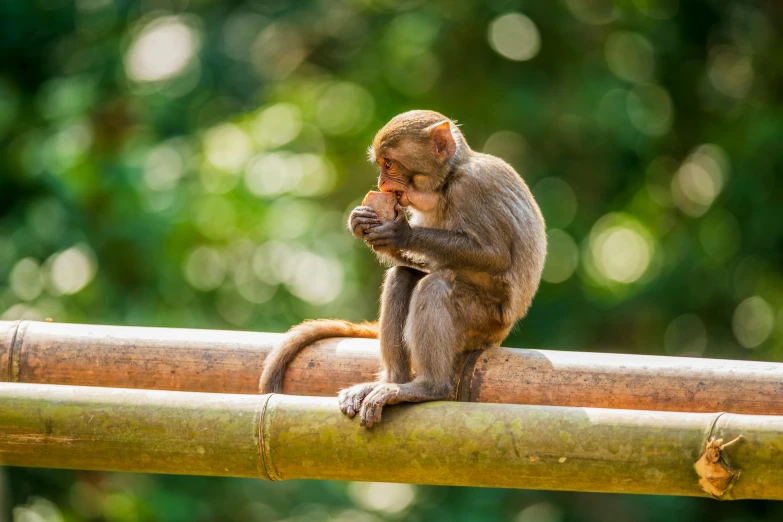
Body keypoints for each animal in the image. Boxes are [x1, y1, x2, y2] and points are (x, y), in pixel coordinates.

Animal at [260, 108, 548, 426]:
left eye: (389, 164)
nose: (383, 184)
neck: (446, 184)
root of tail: (500, 336)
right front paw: (362, 224)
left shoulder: (473, 187)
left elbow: (495, 255)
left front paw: (400, 233)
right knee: (403, 277)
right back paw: (393, 380)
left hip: (483, 324)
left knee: (435, 286)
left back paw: (428, 387)